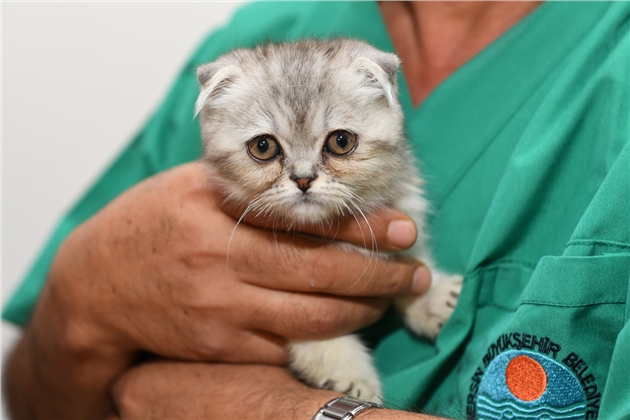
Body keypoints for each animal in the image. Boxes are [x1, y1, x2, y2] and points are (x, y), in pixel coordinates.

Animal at [195, 40, 462, 404]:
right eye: (262, 146)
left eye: (341, 141)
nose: (303, 179)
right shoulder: (293, 306)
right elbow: (317, 331)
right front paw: (350, 375)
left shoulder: (405, 204)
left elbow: (415, 263)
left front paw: (432, 296)